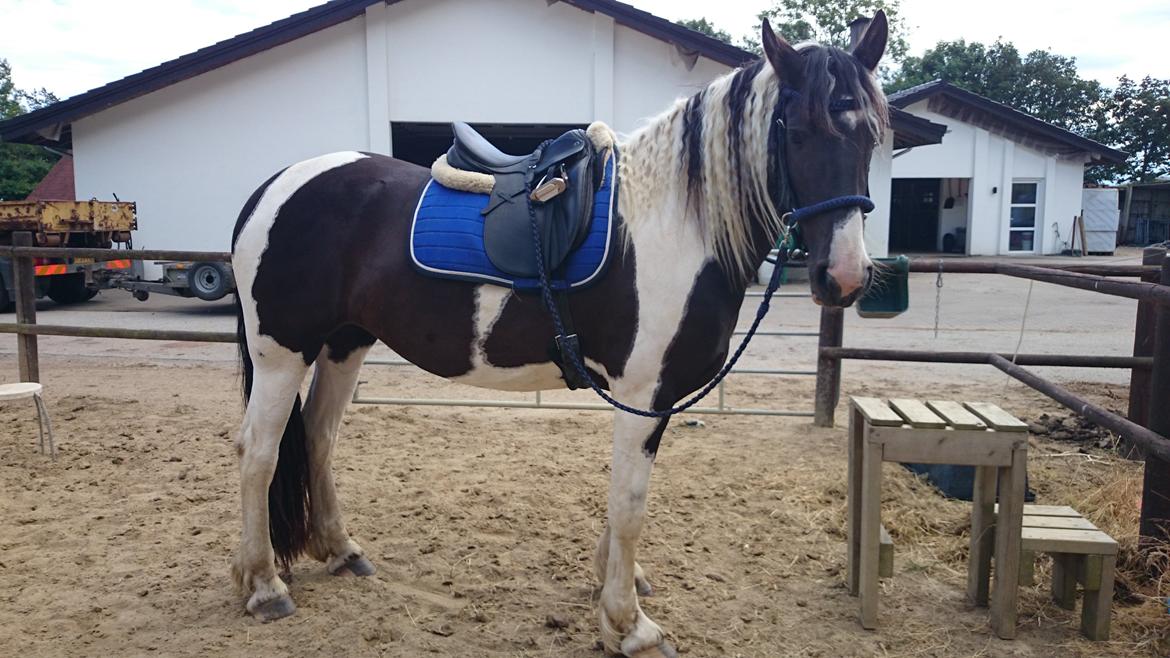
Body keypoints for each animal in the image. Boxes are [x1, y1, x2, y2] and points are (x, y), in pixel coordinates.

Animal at [228, 15, 884, 655]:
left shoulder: (645, 398)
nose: (845, 277)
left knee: (318, 436)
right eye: (797, 132)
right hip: (282, 352)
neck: (674, 229)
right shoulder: (646, 394)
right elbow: (630, 503)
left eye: (872, 137)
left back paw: (341, 551)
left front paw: (616, 583)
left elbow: (622, 500)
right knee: (258, 452)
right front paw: (628, 625)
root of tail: (273, 187)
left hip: (343, 344)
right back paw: (264, 586)